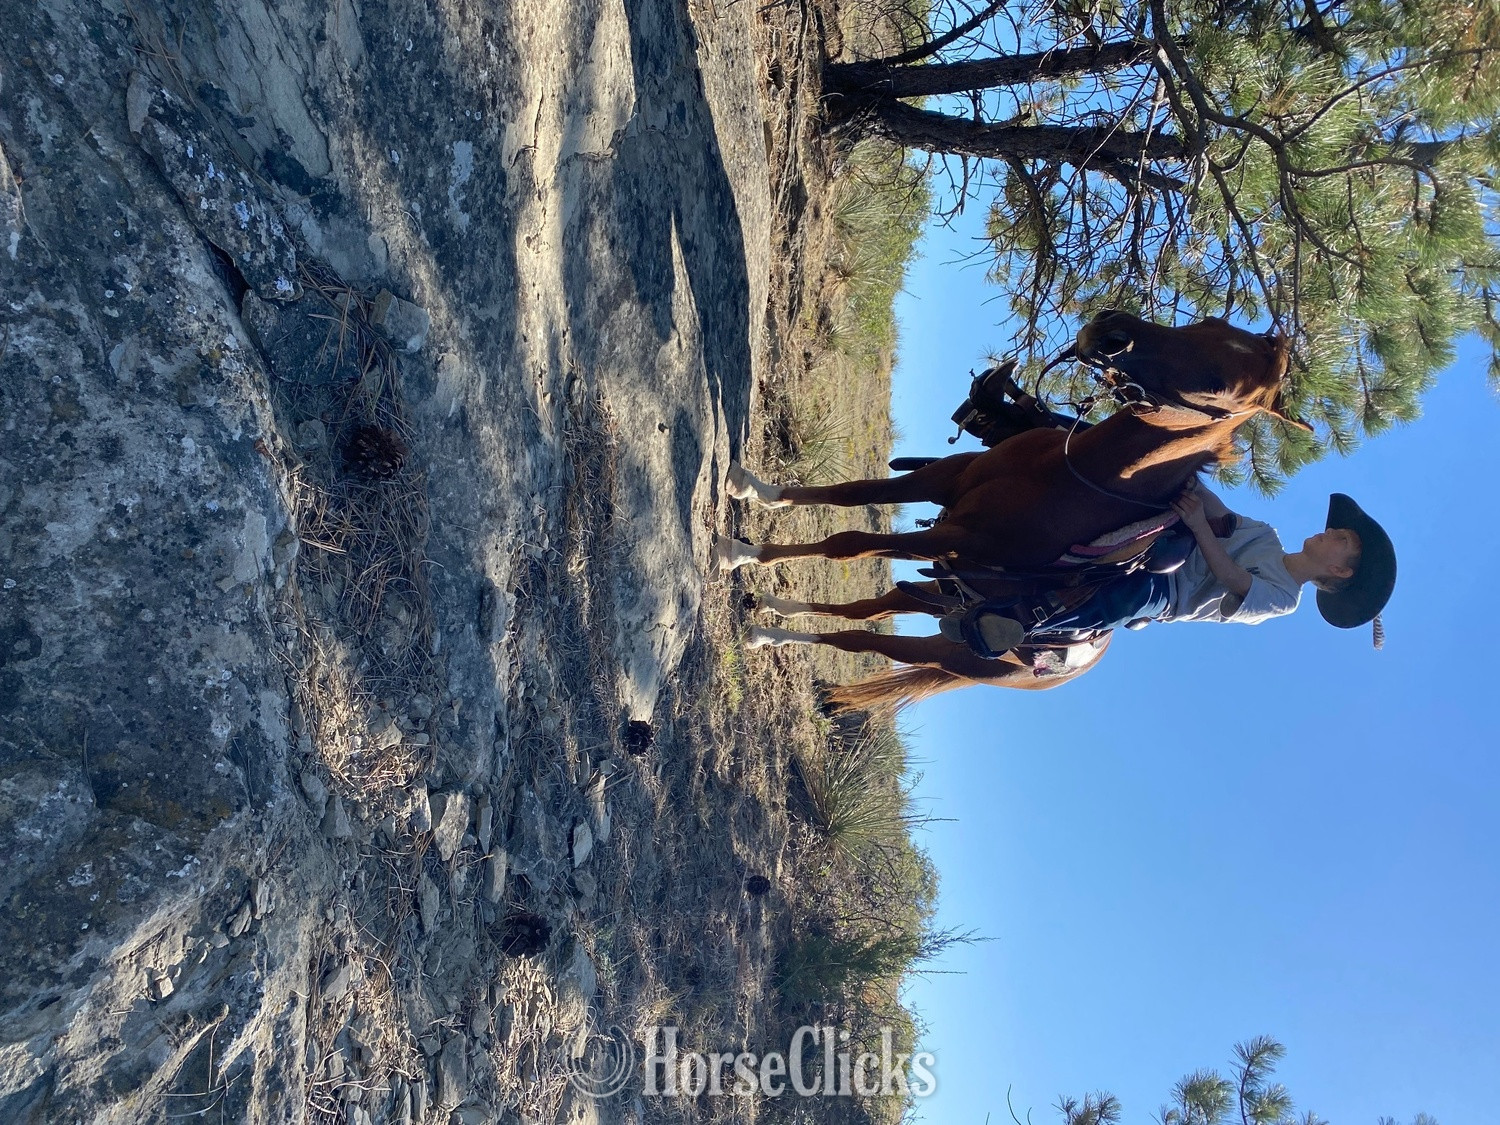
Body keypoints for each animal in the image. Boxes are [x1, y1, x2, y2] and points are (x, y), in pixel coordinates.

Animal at [716, 310, 1304, 711]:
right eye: (1209, 321)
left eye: (1219, 384)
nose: (1112, 330)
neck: (1072, 473)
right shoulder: (944, 484)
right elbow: (851, 494)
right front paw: (749, 489)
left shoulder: (955, 536)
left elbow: (848, 544)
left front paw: (737, 552)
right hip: (942, 594)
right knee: (866, 611)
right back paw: (774, 617)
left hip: (948, 652)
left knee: (862, 635)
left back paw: (766, 631)